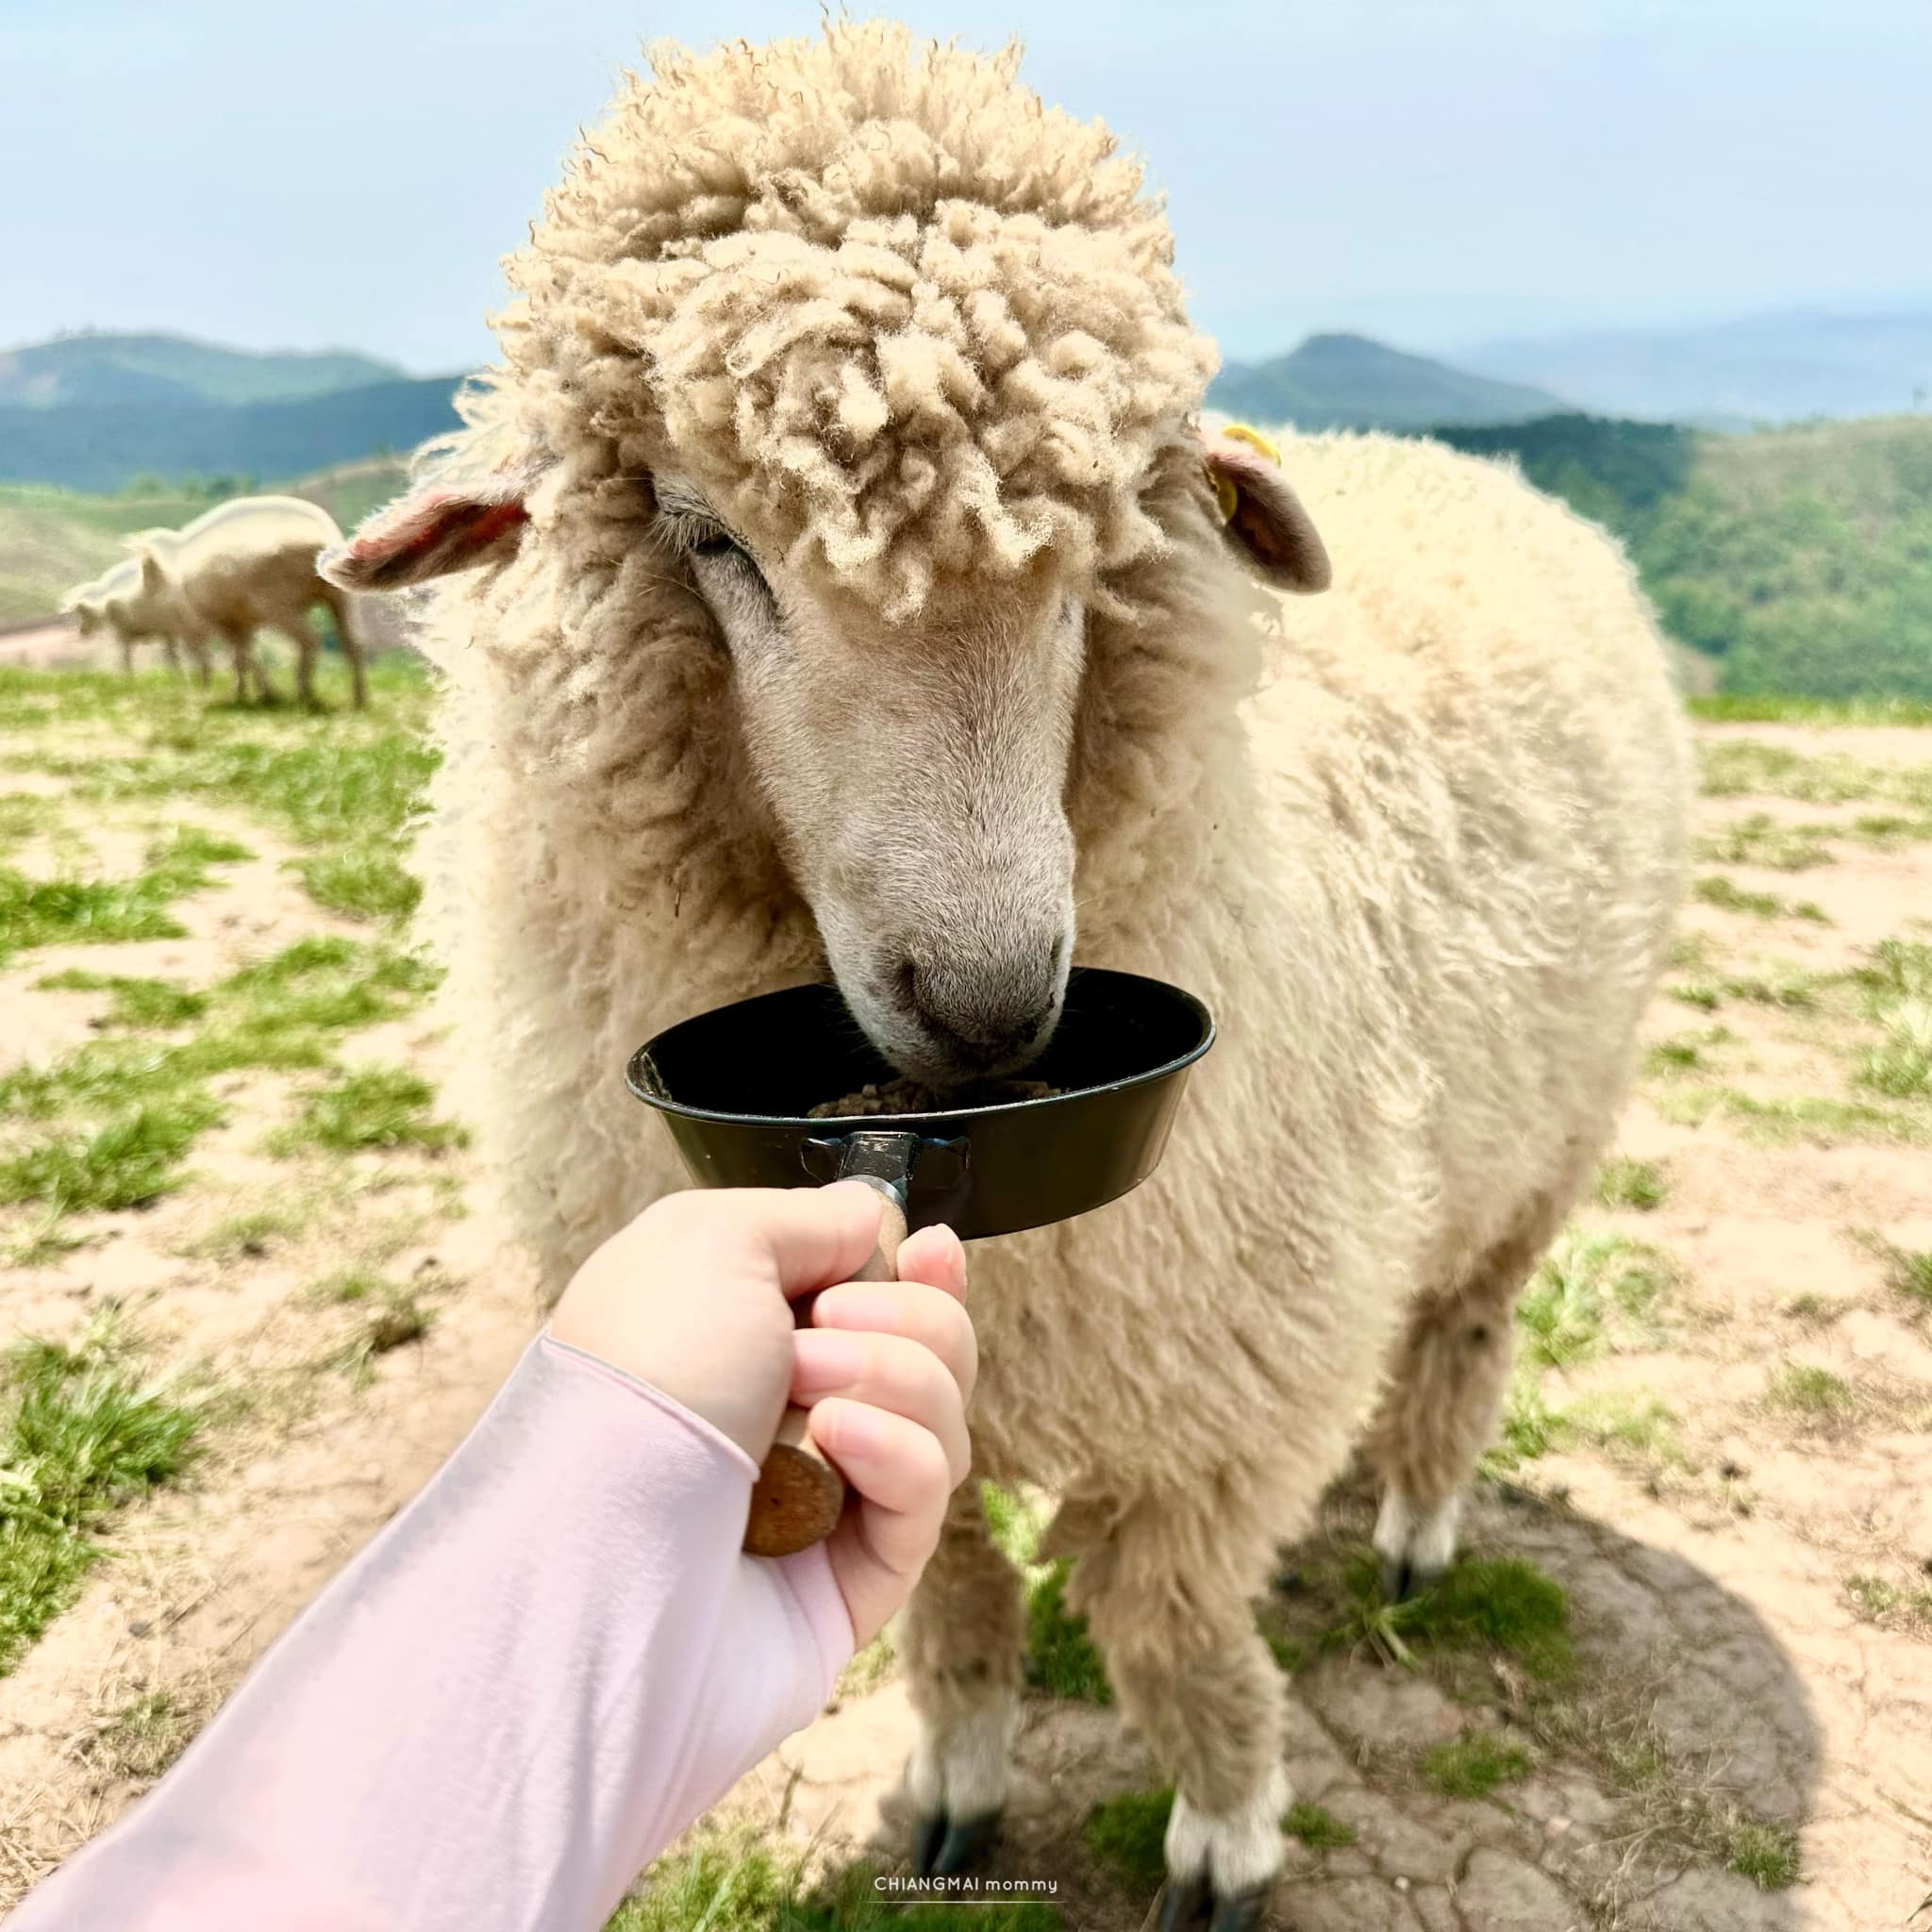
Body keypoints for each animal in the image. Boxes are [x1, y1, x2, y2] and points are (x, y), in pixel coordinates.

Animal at [61, 556, 212, 683]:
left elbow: (126, 659)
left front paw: (128, 680)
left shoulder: (124, 634)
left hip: (181, 628)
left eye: (84, 615)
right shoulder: (152, 635)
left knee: (196, 652)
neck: (106, 612)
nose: (82, 632)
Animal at [133, 496, 368, 707]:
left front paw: (251, 693)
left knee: (310, 640)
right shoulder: (241, 620)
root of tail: (321, 539)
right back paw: (358, 699)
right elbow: (245, 656)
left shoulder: (221, 621)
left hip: (278, 604)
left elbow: (242, 656)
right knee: (353, 642)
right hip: (340, 596)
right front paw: (254, 693)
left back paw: (305, 693)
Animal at [320, 24, 1690, 1928]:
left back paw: (1417, 1524)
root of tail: (1460, 464)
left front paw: (1224, 1834)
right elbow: (953, 1586)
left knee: (1464, 1327)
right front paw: (957, 1788)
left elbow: (1167, 1619)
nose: (988, 1006)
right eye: (706, 535)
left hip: (1547, 1132)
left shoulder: (1224, 1377)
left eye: (1115, 537)